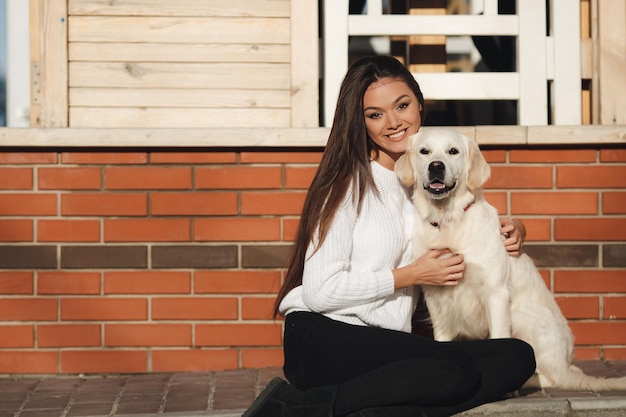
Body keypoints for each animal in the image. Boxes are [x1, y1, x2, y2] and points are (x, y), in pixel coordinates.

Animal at [394, 127, 624, 390]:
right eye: (425, 151)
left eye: (453, 151)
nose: (436, 166)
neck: (448, 220)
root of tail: (567, 364)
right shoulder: (437, 295)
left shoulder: (496, 292)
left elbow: (500, 338)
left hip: (522, 319)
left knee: (551, 377)